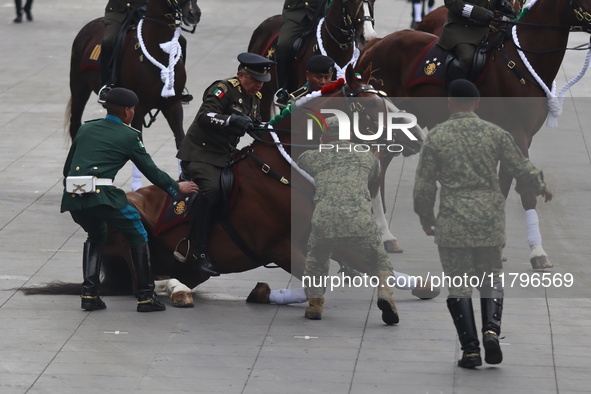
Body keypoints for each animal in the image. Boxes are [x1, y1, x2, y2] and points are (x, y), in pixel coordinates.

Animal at [66, 0, 201, 159]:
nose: (194, 14)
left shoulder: (173, 106)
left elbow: (180, 141)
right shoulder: (138, 108)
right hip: (79, 88)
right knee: (75, 125)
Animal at [356, 0, 591, 270]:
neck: (522, 63)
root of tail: (375, 44)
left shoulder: (518, 137)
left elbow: (503, 186)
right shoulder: (518, 134)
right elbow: (525, 189)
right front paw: (538, 253)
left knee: (380, 167)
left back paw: (386, 235)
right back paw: (383, 234)